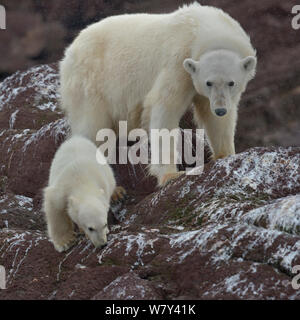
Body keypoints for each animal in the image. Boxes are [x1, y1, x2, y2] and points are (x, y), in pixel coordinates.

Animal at [59, 2, 256, 186]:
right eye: (209, 82)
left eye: (231, 82)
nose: (221, 109)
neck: (202, 28)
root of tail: (70, 51)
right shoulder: (177, 62)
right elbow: (165, 108)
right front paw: (170, 174)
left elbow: (213, 115)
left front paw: (225, 154)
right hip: (91, 82)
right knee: (92, 127)